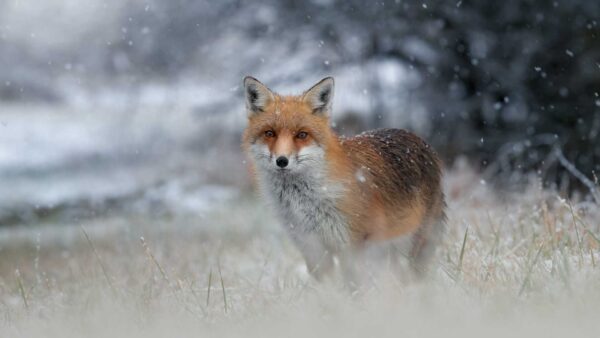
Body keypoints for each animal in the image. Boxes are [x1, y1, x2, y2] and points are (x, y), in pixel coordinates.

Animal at [240, 76, 446, 280]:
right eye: (269, 133)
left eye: (302, 134)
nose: (282, 161)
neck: (304, 203)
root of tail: (423, 142)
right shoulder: (310, 245)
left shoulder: (351, 244)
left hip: (414, 245)